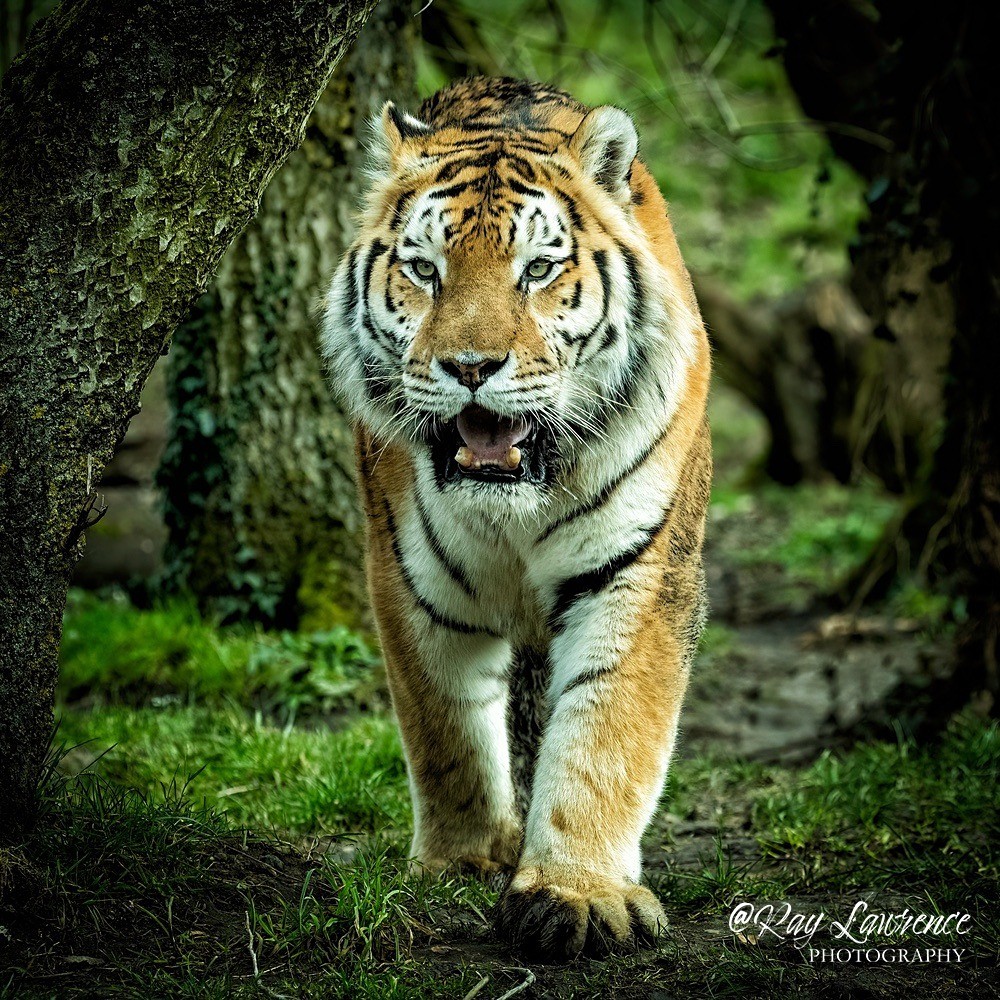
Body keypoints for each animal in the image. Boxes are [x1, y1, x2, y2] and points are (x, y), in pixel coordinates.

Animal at [321, 76, 711, 962]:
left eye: (538, 269)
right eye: (424, 270)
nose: (471, 368)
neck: (514, 505)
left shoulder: (638, 576)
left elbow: (606, 735)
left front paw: (577, 893)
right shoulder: (410, 578)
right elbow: (445, 733)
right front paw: (463, 861)